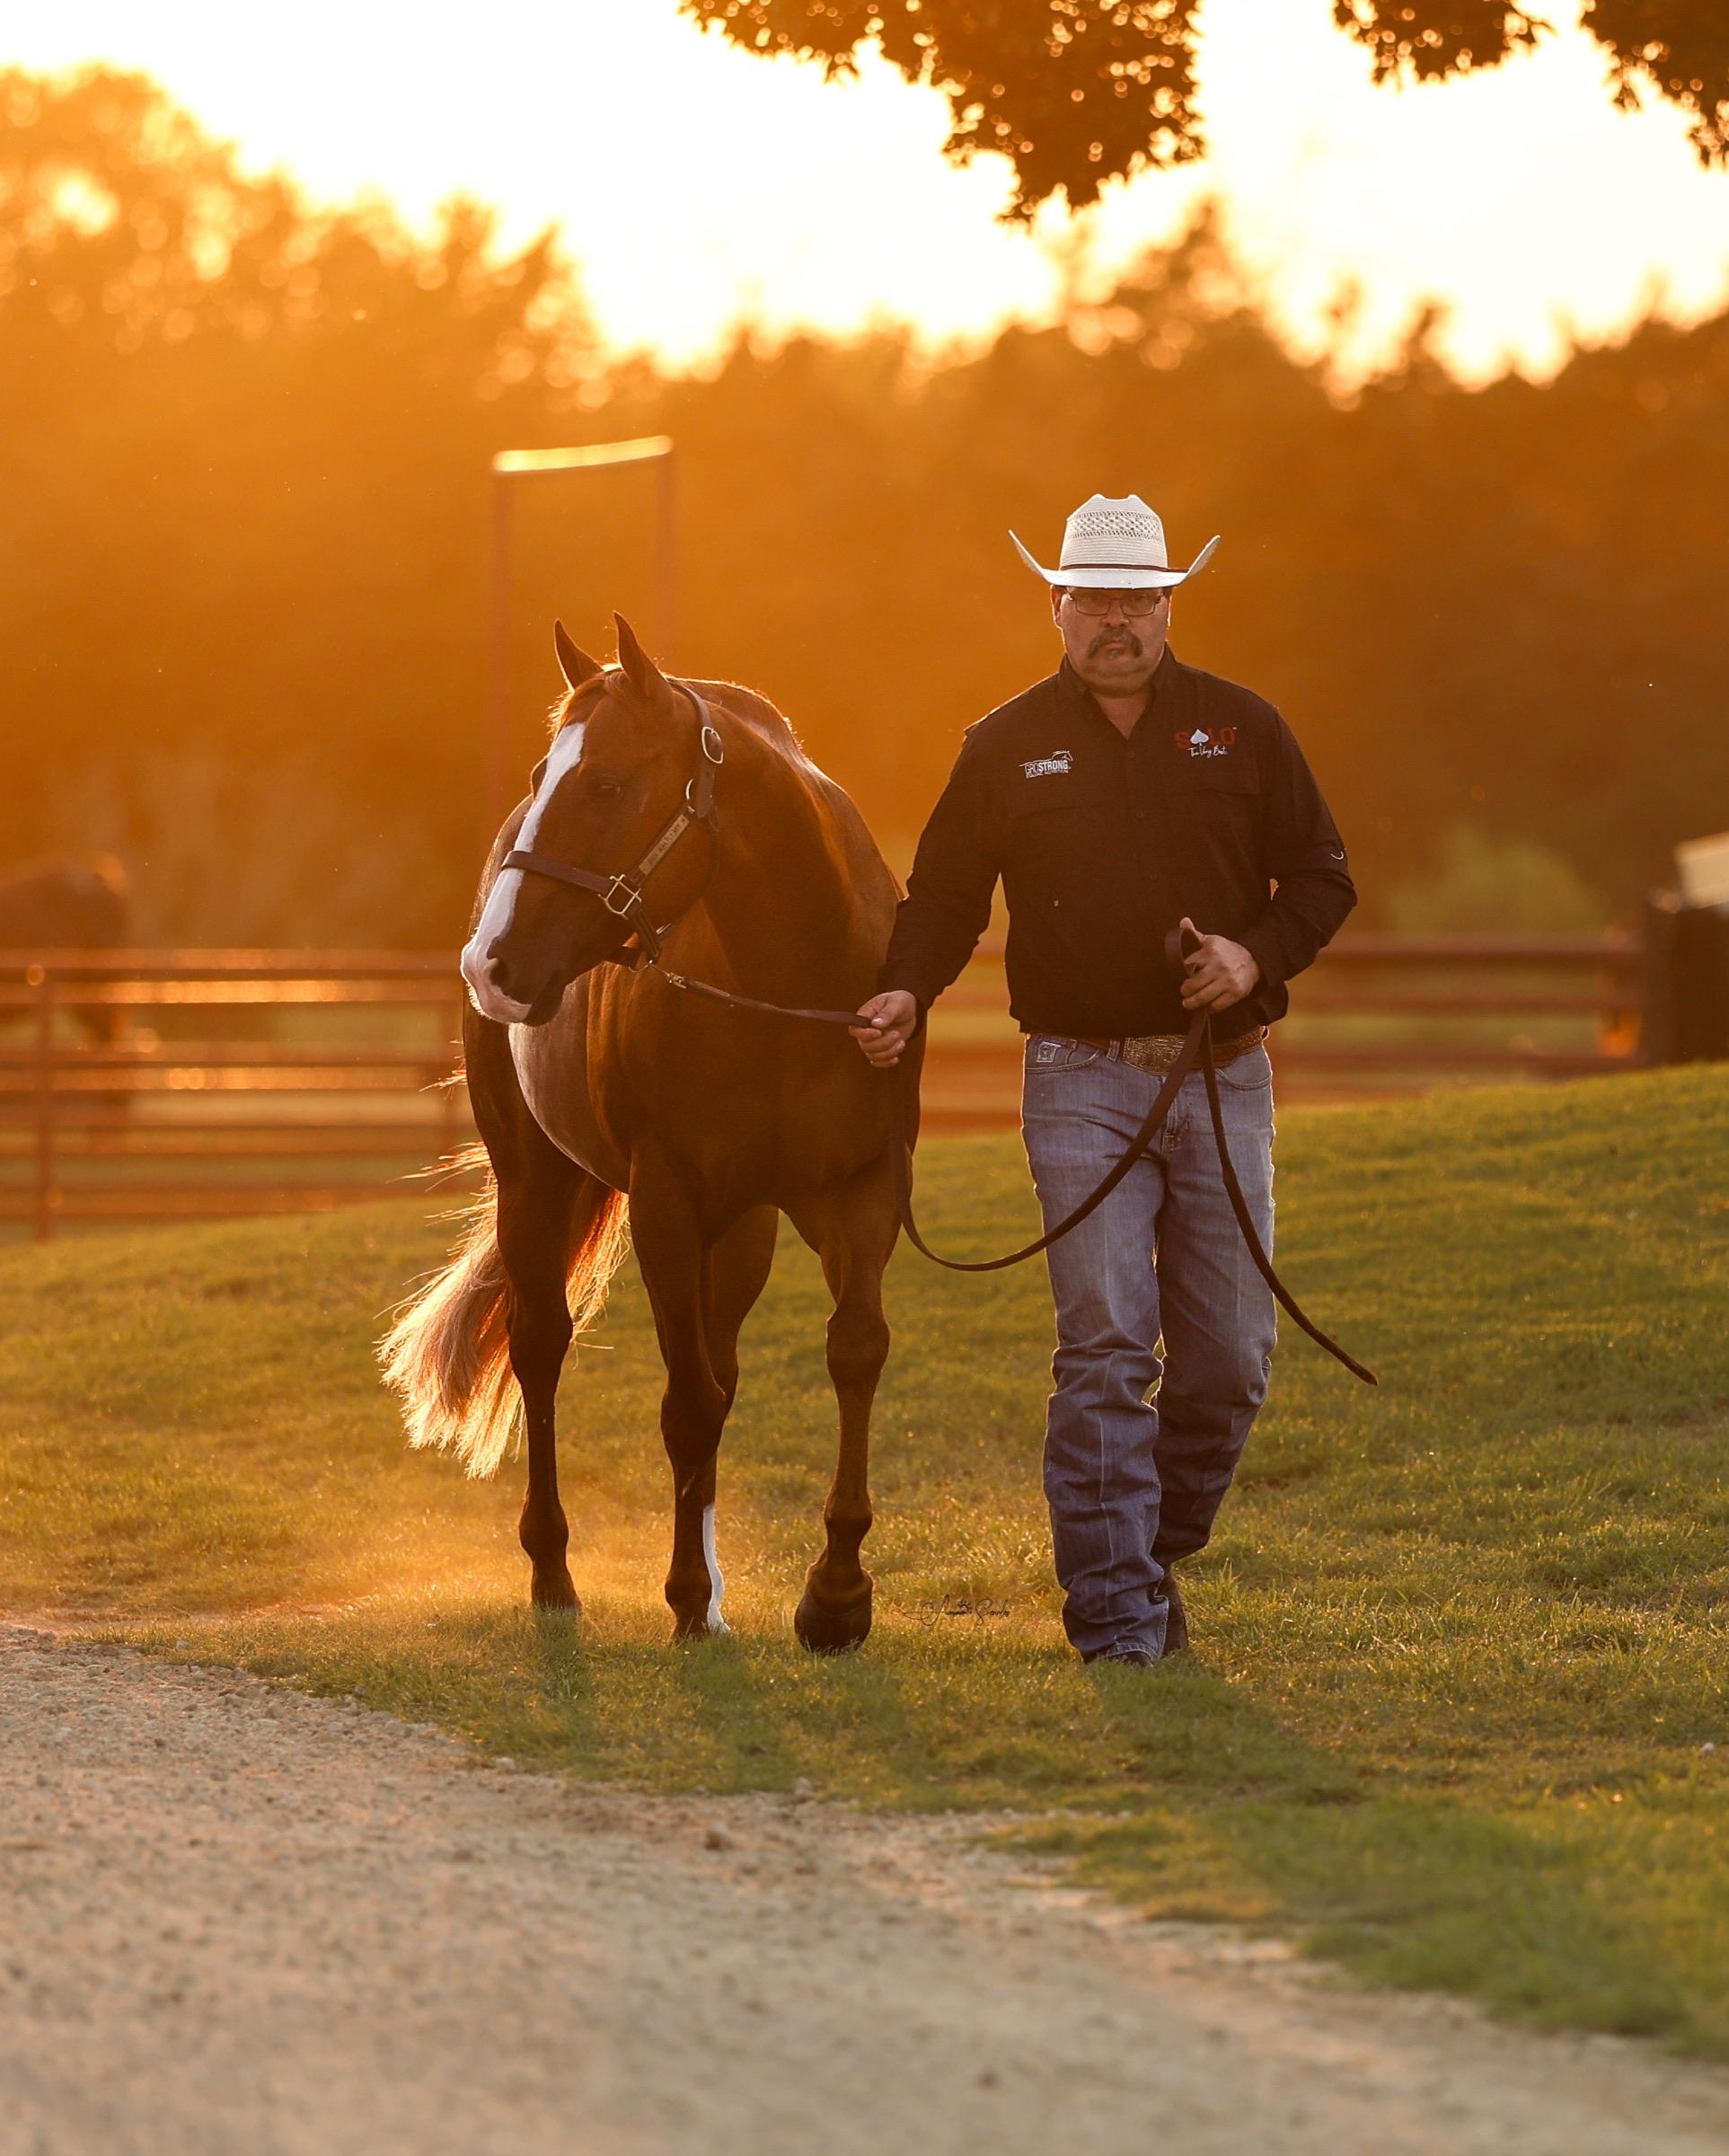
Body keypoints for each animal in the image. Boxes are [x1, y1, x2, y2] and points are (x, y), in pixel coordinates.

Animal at [381, 615, 917, 1649]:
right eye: (543, 776)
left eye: (605, 784)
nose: (490, 963)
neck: (790, 985)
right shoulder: (668, 1205)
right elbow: (685, 1404)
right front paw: (683, 1593)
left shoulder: (859, 1191)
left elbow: (852, 1352)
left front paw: (834, 1591)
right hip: (535, 1184)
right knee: (542, 1349)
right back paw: (554, 1573)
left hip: (739, 1233)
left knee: (722, 1368)